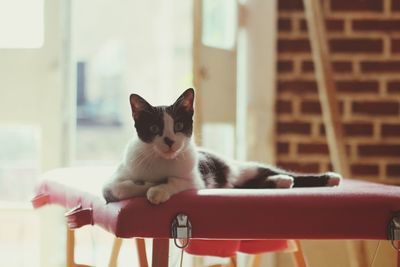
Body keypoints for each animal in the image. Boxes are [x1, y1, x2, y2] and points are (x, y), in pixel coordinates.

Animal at [103, 88, 340, 205]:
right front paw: (147, 185)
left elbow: (176, 181)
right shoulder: (111, 182)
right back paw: (281, 182)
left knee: (281, 173)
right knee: (251, 184)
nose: (169, 141)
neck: (162, 162)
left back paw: (327, 178)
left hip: (243, 167)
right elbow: (119, 187)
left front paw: (157, 190)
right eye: (153, 128)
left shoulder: (195, 179)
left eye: (179, 125)